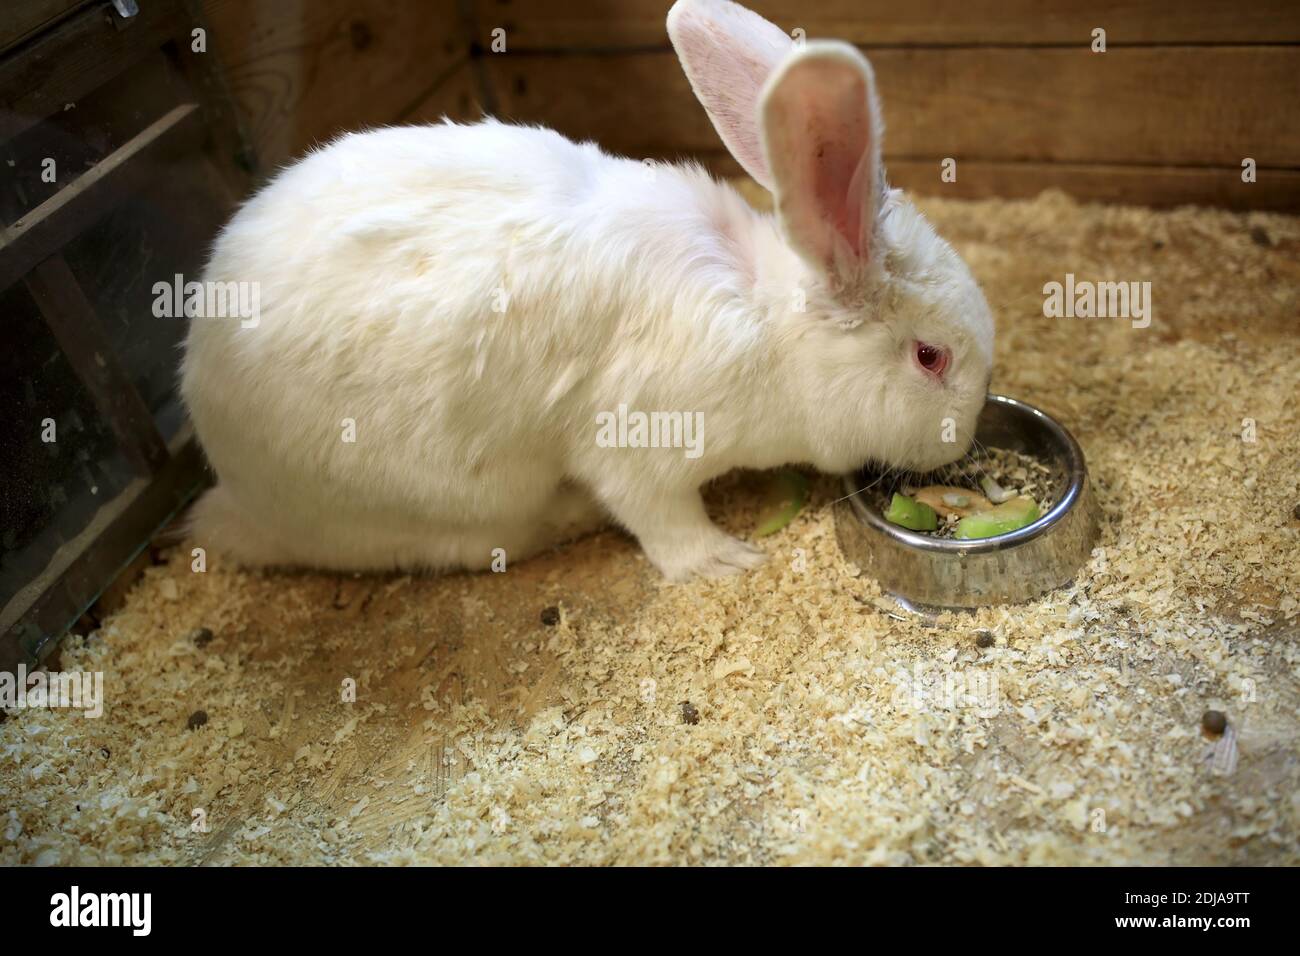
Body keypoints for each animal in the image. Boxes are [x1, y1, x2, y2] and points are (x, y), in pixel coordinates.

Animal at [179, 0, 994, 582]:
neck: (767, 323)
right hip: (446, 501)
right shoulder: (640, 443)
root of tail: (236, 497)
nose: (963, 437)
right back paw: (567, 518)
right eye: (930, 357)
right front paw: (723, 561)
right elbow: (660, 516)